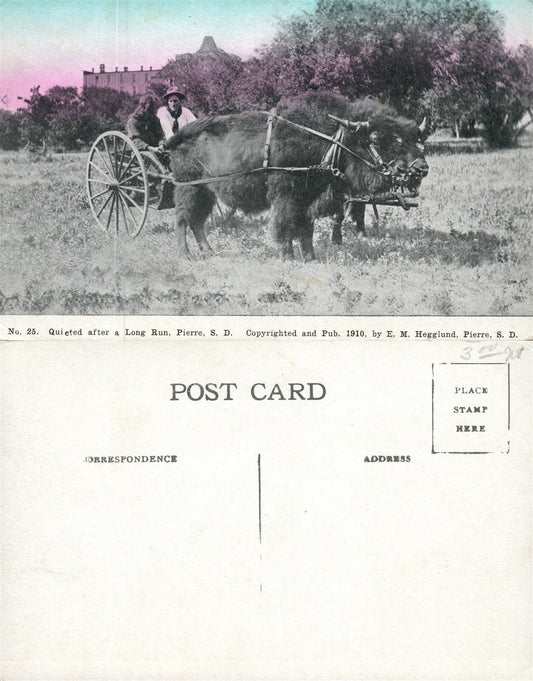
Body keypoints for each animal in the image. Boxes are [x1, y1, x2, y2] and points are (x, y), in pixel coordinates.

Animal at [166, 91, 428, 258]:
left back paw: (209, 251)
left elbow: (305, 229)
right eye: (375, 139)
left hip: (207, 192)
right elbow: (285, 225)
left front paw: (310, 257)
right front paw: (287, 256)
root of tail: (178, 137)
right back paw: (185, 255)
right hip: (189, 188)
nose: (421, 168)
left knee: (197, 221)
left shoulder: (309, 198)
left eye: (414, 139)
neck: (333, 138)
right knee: (182, 219)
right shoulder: (287, 196)